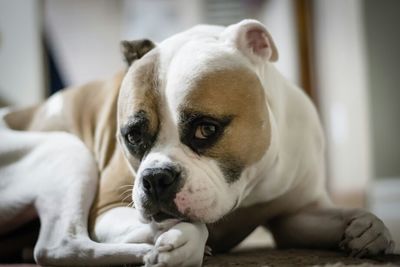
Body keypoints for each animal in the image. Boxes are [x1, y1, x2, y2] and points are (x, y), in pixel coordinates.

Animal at [0, 19, 394, 266]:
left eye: (206, 129)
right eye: (133, 136)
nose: (155, 178)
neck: (253, 186)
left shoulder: (295, 216)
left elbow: (348, 215)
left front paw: (370, 231)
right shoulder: (109, 207)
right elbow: (187, 226)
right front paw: (181, 239)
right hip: (68, 152)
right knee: (60, 247)